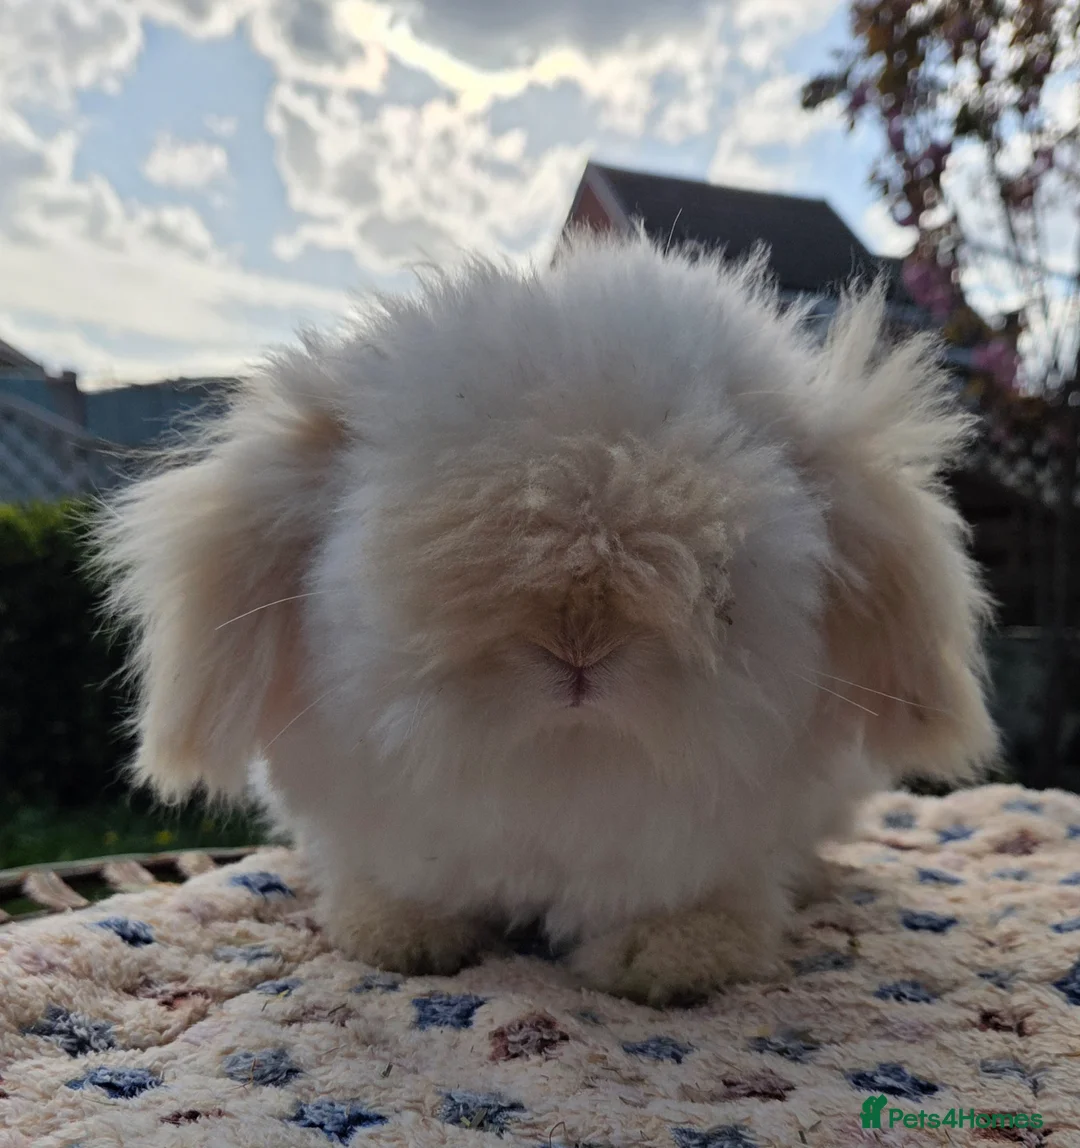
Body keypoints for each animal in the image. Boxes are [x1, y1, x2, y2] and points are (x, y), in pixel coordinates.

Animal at [95, 230, 996, 1006]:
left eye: (728, 579)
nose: (579, 645)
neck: (561, 774)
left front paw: (671, 958)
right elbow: (391, 885)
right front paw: (398, 936)